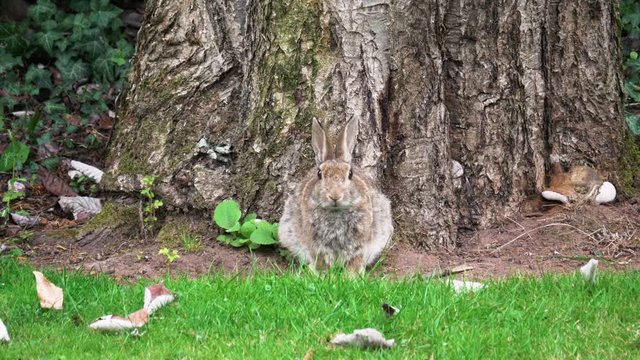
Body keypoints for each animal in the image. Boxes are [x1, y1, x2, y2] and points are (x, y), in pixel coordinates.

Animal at [280, 117, 396, 272]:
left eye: (350, 174)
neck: (335, 212)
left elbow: (355, 259)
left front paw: (352, 275)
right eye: (319, 174)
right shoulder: (315, 244)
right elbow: (320, 260)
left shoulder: (360, 242)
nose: (335, 196)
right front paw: (321, 274)